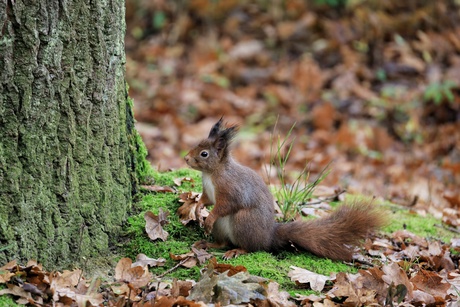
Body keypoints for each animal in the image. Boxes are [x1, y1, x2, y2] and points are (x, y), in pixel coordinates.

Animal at [185, 119, 386, 262]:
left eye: (204, 154)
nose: (186, 158)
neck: (212, 173)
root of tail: (268, 236)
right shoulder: (208, 190)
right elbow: (206, 200)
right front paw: (197, 209)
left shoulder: (232, 189)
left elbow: (224, 206)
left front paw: (208, 217)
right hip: (223, 227)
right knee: (223, 243)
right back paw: (209, 243)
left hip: (244, 222)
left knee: (251, 247)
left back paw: (236, 250)